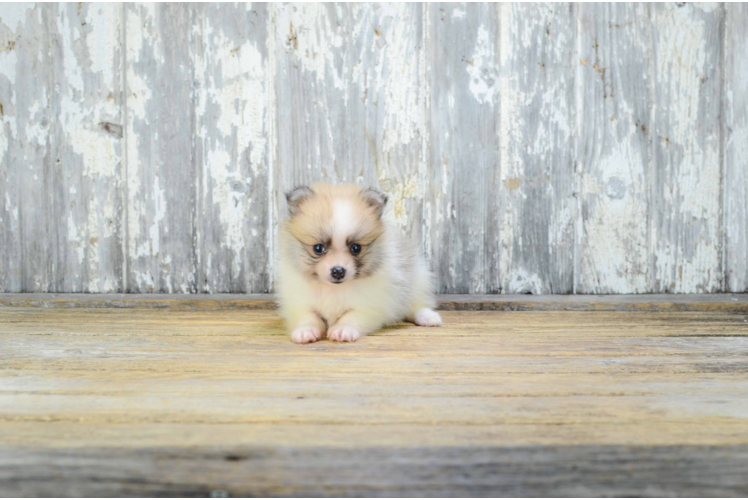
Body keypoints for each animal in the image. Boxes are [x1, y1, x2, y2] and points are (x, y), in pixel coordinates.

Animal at [278, 184, 442, 344]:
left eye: (356, 248)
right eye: (318, 248)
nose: (338, 271)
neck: (334, 289)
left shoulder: (370, 306)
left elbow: (352, 316)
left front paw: (342, 329)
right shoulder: (300, 302)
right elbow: (308, 316)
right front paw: (305, 331)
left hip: (417, 280)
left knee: (415, 304)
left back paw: (428, 317)